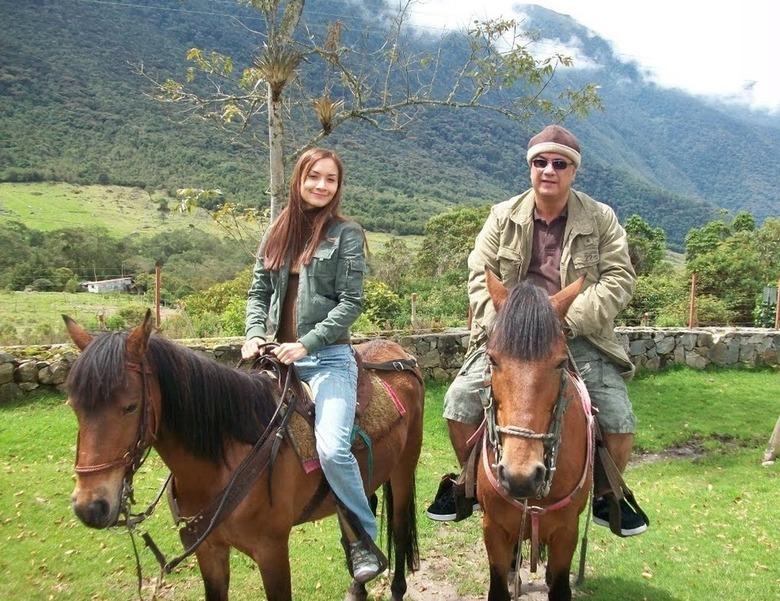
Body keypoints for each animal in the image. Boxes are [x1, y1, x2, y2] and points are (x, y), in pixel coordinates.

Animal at [64, 314, 424, 600]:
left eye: (130, 406)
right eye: (74, 405)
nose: (90, 506)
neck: (229, 459)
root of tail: (401, 356)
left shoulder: (272, 552)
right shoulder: (210, 552)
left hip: (403, 471)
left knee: (400, 530)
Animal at [476, 274, 592, 600]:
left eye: (561, 363)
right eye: (493, 359)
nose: (521, 476)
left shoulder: (567, 532)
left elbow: (561, 587)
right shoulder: (493, 529)